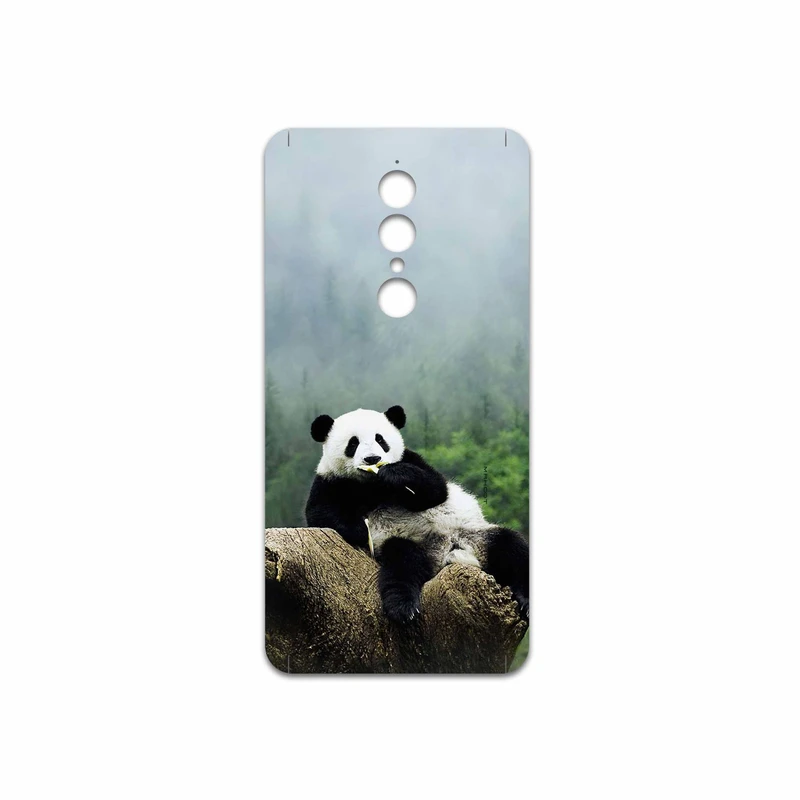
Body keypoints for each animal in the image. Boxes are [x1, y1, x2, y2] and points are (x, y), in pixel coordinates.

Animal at [305, 405, 529, 623]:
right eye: (353, 443)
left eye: (380, 439)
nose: (372, 459)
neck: (372, 484)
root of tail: (447, 553)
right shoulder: (330, 481)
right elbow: (320, 513)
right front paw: (360, 529)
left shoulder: (411, 459)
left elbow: (435, 489)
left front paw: (394, 474)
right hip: (408, 543)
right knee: (402, 564)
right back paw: (403, 608)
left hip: (474, 534)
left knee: (511, 547)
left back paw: (525, 601)